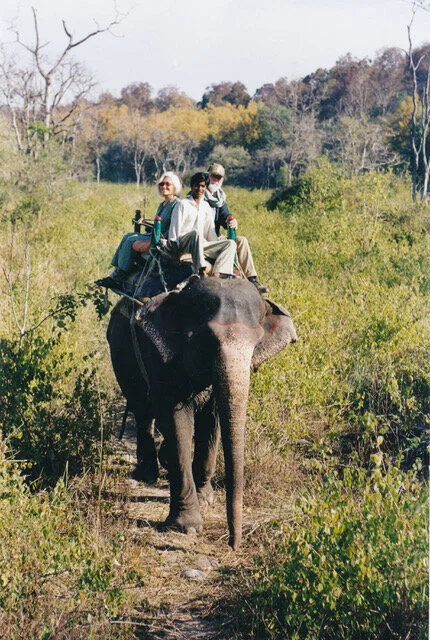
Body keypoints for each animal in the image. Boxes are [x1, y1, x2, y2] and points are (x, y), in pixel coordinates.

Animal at [107, 277, 297, 549]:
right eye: (206, 340)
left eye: (257, 342)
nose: (233, 544)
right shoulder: (160, 355)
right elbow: (177, 422)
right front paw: (186, 528)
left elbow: (212, 421)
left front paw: (205, 498)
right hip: (121, 354)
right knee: (142, 408)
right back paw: (147, 476)